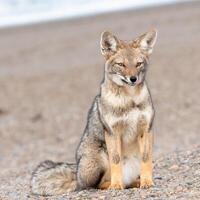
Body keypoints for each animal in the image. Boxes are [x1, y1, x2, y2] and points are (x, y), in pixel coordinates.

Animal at [30, 29, 157, 195]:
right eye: (121, 64)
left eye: (138, 64)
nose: (133, 78)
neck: (130, 100)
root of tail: (77, 173)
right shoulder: (112, 132)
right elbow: (116, 162)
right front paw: (116, 186)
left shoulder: (146, 130)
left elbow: (146, 159)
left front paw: (147, 182)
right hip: (100, 157)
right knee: (94, 185)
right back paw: (114, 185)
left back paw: (136, 181)